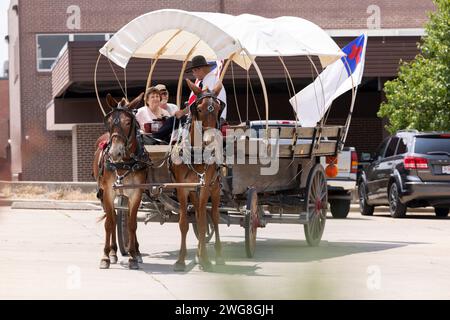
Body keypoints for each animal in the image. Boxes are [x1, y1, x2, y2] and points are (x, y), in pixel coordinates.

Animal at [92, 93, 147, 270]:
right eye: (108, 122)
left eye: (128, 122)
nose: (115, 152)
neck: (124, 162)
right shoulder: (108, 192)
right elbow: (110, 223)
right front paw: (106, 256)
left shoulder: (136, 192)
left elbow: (132, 223)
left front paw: (133, 257)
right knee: (114, 217)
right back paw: (113, 252)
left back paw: (136, 251)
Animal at [170, 79, 224, 272]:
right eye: (198, 109)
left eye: (218, 108)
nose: (210, 142)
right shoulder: (182, 189)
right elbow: (184, 223)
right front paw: (180, 260)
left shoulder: (205, 186)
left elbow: (202, 224)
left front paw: (206, 259)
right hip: (194, 192)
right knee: (200, 215)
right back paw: (199, 255)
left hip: (215, 189)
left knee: (214, 217)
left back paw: (216, 256)